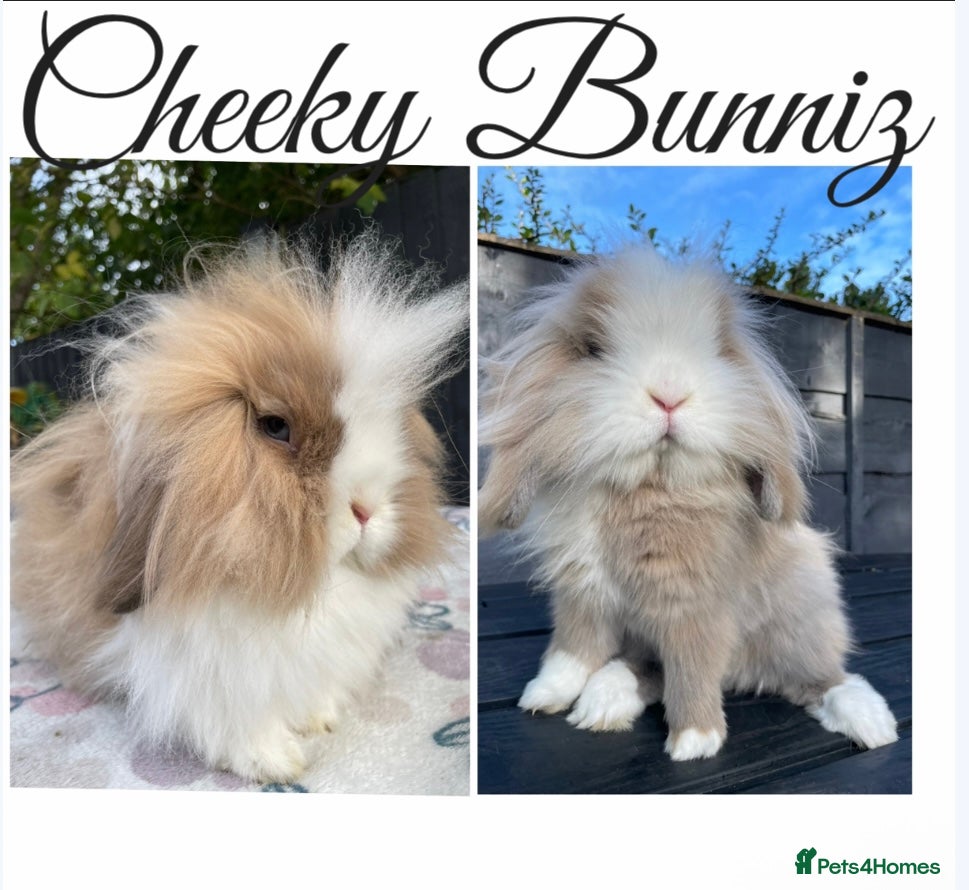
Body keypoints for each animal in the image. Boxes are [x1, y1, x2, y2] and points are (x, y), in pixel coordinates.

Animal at [10, 232, 469, 783]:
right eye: (275, 426)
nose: (367, 507)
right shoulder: (204, 673)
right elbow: (234, 722)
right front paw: (278, 763)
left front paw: (320, 720)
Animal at [478, 243, 898, 761]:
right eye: (594, 349)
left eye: (717, 350)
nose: (670, 395)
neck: (643, 486)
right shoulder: (581, 593)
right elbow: (572, 647)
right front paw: (545, 694)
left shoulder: (694, 607)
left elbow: (691, 665)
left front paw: (695, 739)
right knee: (646, 666)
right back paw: (603, 700)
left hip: (798, 627)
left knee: (819, 680)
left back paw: (872, 722)